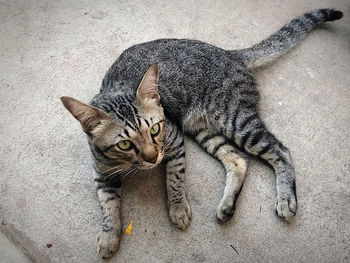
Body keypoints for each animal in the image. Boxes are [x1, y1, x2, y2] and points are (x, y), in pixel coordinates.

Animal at [60, 8, 342, 260]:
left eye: (155, 129)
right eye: (126, 144)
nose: (153, 158)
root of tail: (229, 53)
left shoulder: (174, 141)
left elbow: (174, 179)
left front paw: (178, 208)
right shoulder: (101, 171)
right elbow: (108, 205)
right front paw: (109, 235)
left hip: (235, 120)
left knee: (279, 149)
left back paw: (285, 199)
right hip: (203, 130)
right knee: (238, 159)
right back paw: (227, 205)